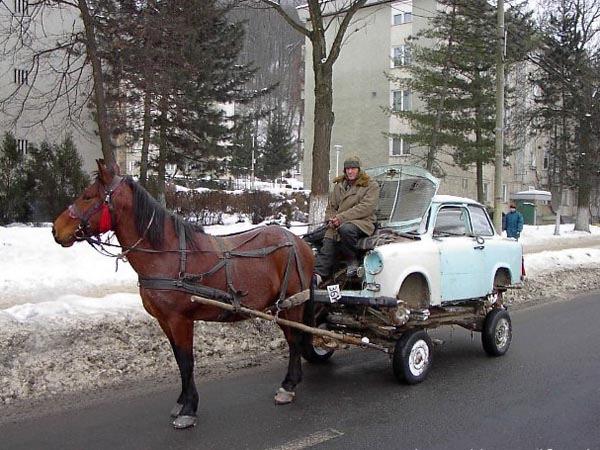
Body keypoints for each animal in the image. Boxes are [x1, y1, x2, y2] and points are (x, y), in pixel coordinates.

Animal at [51, 159, 314, 428]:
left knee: (295, 340)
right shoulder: (164, 321)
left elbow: (187, 362)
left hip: (293, 304)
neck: (167, 255)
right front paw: (181, 401)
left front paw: (189, 409)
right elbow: (178, 360)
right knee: (293, 338)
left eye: (88, 196)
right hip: (279, 306)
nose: (55, 229)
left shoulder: (180, 320)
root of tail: (299, 241)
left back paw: (288, 386)